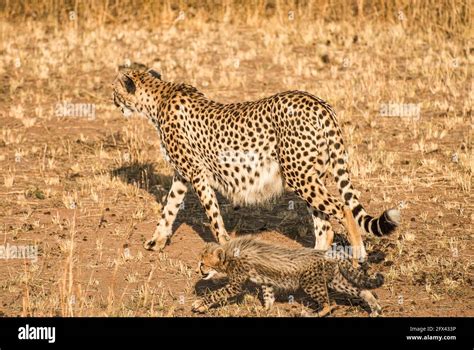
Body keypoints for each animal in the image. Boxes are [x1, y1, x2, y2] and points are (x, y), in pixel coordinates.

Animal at [113, 68, 398, 262]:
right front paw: (156, 241)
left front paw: (224, 245)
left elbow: (212, 215)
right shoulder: (183, 175)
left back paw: (358, 254)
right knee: (325, 225)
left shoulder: (196, 174)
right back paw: (312, 260)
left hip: (298, 174)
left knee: (342, 208)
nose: (113, 100)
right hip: (308, 173)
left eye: (115, 90)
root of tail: (318, 102)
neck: (159, 98)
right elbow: (169, 208)